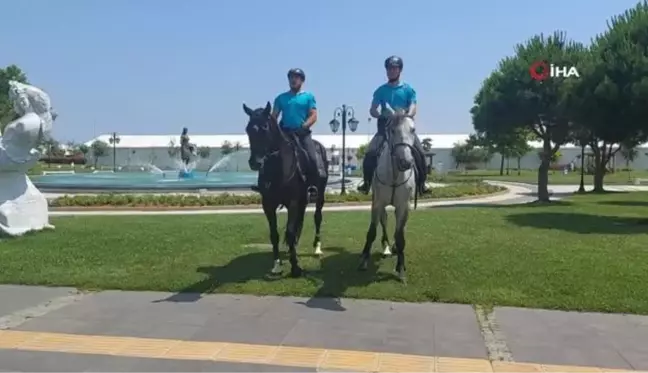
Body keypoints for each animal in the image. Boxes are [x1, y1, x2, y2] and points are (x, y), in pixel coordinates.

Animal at [242, 101, 330, 276]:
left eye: (265, 127)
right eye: (248, 129)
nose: (255, 162)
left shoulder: (293, 202)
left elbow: (289, 231)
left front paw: (295, 267)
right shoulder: (268, 205)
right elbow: (274, 234)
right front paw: (277, 264)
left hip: (319, 196)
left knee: (317, 217)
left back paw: (317, 247)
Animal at [360, 104, 416, 282]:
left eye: (413, 129)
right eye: (392, 130)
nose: (405, 162)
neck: (395, 174)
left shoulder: (403, 206)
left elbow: (400, 235)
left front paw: (401, 269)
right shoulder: (377, 203)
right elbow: (372, 231)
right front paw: (364, 260)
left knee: (399, 228)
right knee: (383, 221)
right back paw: (385, 246)